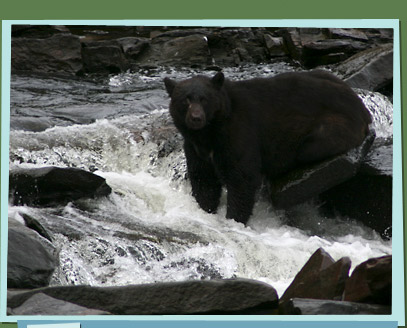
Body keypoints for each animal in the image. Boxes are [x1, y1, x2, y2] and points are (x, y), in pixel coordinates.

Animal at [165, 71, 372, 226]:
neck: (209, 133)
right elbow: (204, 180)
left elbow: (241, 178)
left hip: (330, 129)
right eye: (186, 100)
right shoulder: (195, 148)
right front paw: (206, 209)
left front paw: (234, 219)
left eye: (204, 99)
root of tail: (362, 108)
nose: (196, 118)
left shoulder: (239, 134)